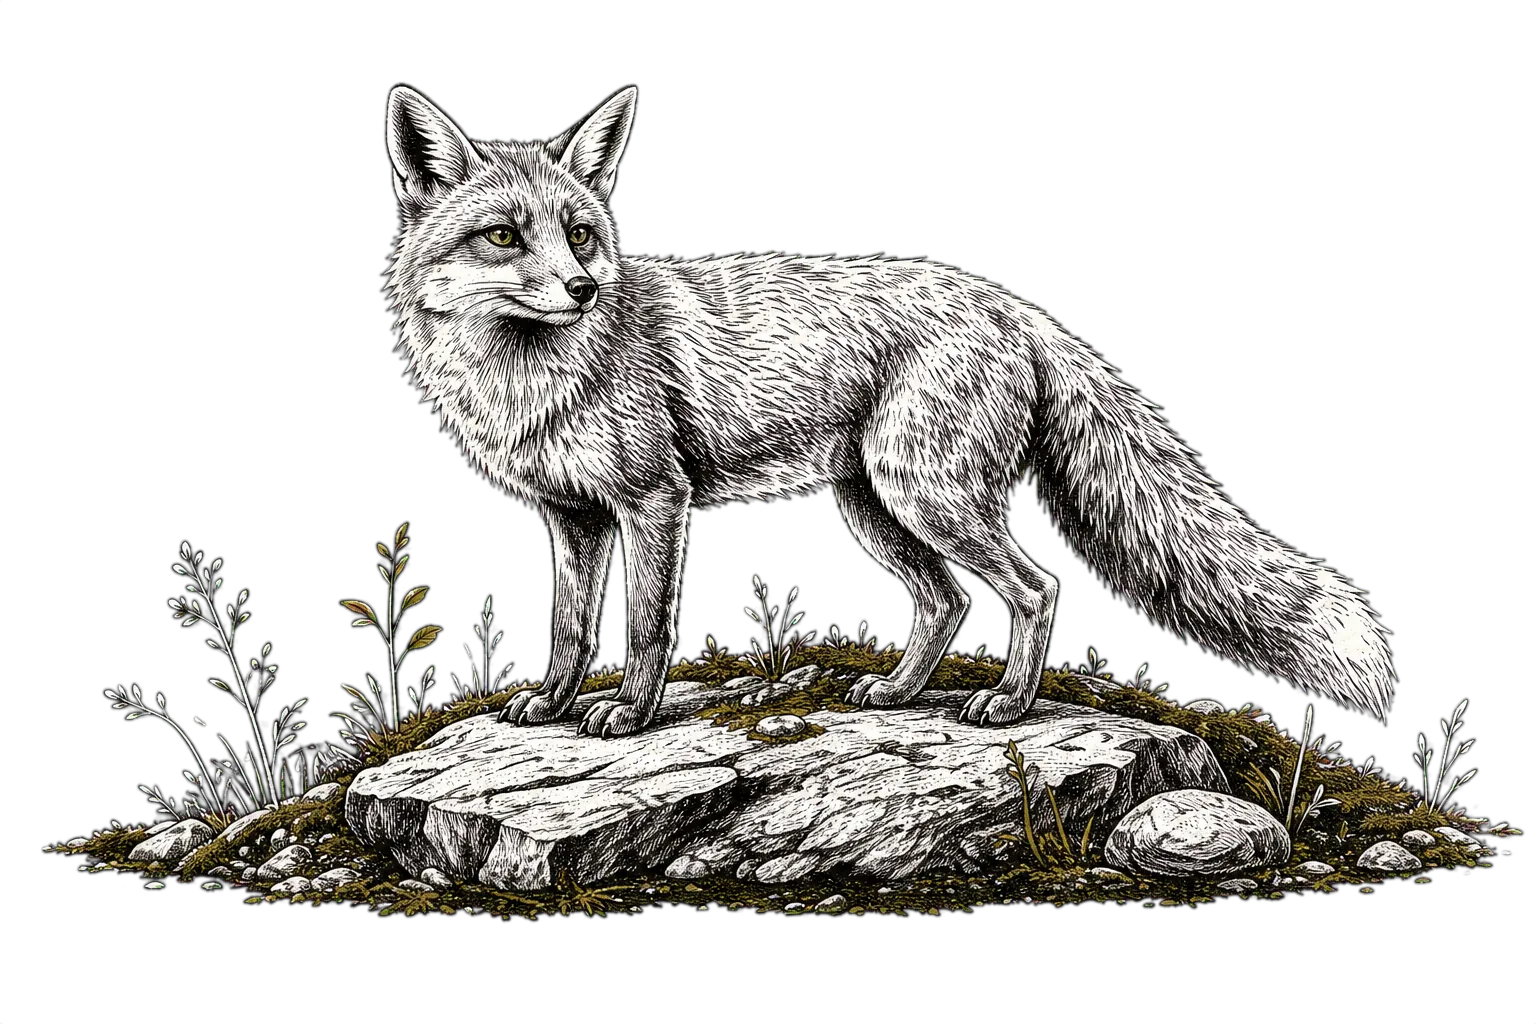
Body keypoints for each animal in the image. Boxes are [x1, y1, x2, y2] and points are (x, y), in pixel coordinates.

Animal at [385, 85, 1394, 739]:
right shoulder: (573, 516)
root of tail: (1012, 305)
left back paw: (1009, 706)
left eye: (582, 234)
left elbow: (645, 628)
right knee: (947, 601)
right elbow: (570, 626)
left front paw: (630, 714)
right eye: (504, 236)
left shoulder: (654, 502)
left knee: (1035, 588)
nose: (584, 288)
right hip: (876, 508)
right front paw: (553, 704)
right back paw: (903, 696)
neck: (530, 381)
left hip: (927, 497)